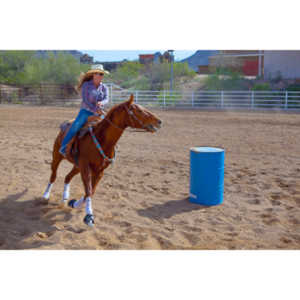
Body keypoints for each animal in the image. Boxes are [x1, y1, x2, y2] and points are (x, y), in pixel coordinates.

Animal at [42, 95, 162, 226]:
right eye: (139, 110)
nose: (159, 121)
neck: (102, 140)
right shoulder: (85, 167)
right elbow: (89, 191)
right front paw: (89, 216)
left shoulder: (99, 171)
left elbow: (91, 191)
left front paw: (74, 203)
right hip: (57, 157)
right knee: (53, 175)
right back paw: (46, 195)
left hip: (77, 166)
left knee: (67, 177)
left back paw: (65, 198)